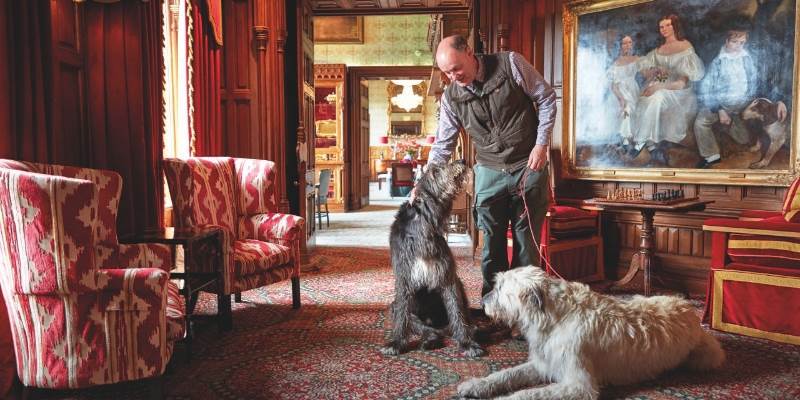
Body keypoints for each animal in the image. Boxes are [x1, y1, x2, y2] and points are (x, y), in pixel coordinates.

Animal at [382, 161, 488, 358]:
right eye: (436, 170)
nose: (462, 161)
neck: (424, 226)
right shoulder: (404, 278)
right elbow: (401, 316)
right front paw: (395, 342)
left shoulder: (448, 277)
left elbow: (457, 312)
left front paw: (467, 343)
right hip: (397, 308)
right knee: (425, 328)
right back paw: (430, 339)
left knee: (463, 323)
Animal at [456, 268, 724, 398]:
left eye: (501, 287)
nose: (483, 301)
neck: (556, 317)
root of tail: (686, 305)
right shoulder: (544, 363)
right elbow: (505, 375)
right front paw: (477, 385)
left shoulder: (579, 385)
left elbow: (527, 394)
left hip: (706, 356)